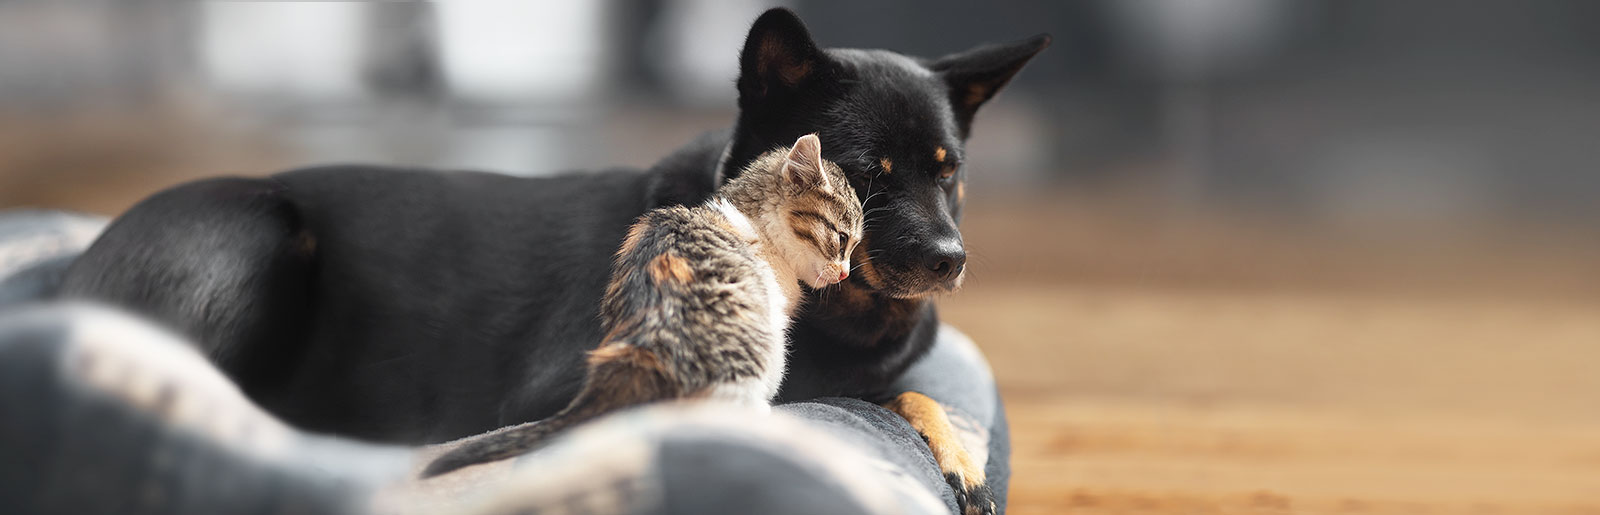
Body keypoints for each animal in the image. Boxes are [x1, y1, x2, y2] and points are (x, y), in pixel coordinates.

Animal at [419, 135, 857, 476]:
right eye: (841, 238)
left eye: (854, 246)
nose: (845, 274)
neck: (755, 223)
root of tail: (642, 349)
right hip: (759, 354)